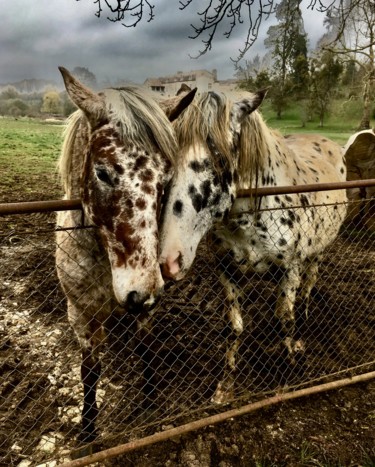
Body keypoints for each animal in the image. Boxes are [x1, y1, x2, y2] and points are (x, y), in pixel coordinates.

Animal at [55, 67, 197, 444]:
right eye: (103, 172)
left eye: (165, 179)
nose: (139, 292)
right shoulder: (82, 315)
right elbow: (90, 370)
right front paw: (88, 431)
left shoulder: (147, 305)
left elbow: (145, 347)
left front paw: (149, 400)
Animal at [158, 89, 346, 404]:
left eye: (219, 158)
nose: (169, 259)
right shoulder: (227, 272)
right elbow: (234, 328)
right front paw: (225, 385)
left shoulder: (289, 270)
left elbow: (286, 320)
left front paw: (287, 372)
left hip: (316, 254)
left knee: (309, 285)